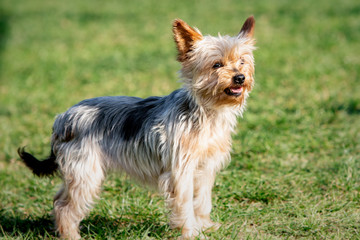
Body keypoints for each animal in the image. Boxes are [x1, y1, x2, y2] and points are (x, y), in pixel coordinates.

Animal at [18, 15, 256, 239]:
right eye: (217, 65)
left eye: (242, 62)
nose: (240, 77)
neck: (206, 111)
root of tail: (63, 119)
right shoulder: (180, 171)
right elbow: (185, 204)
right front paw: (190, 233)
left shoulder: (205, 169)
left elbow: (202, 201)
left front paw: (206, 226)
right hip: (86, 172)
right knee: (65, 208)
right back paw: (71, 235)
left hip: (77, 171)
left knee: (58, 199)